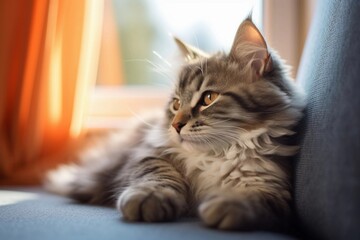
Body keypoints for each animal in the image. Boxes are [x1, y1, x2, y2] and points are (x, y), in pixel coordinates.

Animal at [44, 16, 304, 231]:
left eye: (208, 98)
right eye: (176, 104)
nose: (176, 126)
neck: (218, 154)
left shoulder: (276, 188)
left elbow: (258, 198)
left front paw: (231, 203)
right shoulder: (146, 154)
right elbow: (158, 173)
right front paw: (149, 197)